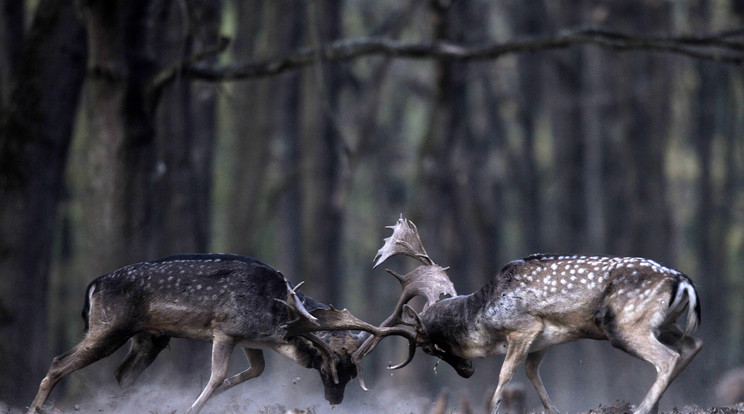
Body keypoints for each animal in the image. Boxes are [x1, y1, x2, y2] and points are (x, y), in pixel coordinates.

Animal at [27, 254, 412, 412]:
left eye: (352, 372)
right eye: (325, 363)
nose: (335, 400)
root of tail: (93, 286)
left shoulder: (249, 340)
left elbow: (254, 372)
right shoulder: (225, 329)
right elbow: (217, 376)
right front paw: (189, 407)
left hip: (150, 337)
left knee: (122, 374)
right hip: (108, 327)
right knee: (58, 363)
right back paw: (35, 408)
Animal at [370, 217, 700, 414]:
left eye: (427, 347)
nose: (467, 371)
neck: (482, 317)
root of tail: (683, 281)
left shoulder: (523, 328)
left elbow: (505, 375)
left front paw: (492, 408)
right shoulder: (543, 339)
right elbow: (531, 372)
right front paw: (553, 410)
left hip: (626, 324)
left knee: (668, 358)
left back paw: (642, 408)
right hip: (665, 324)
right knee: (692, 345)